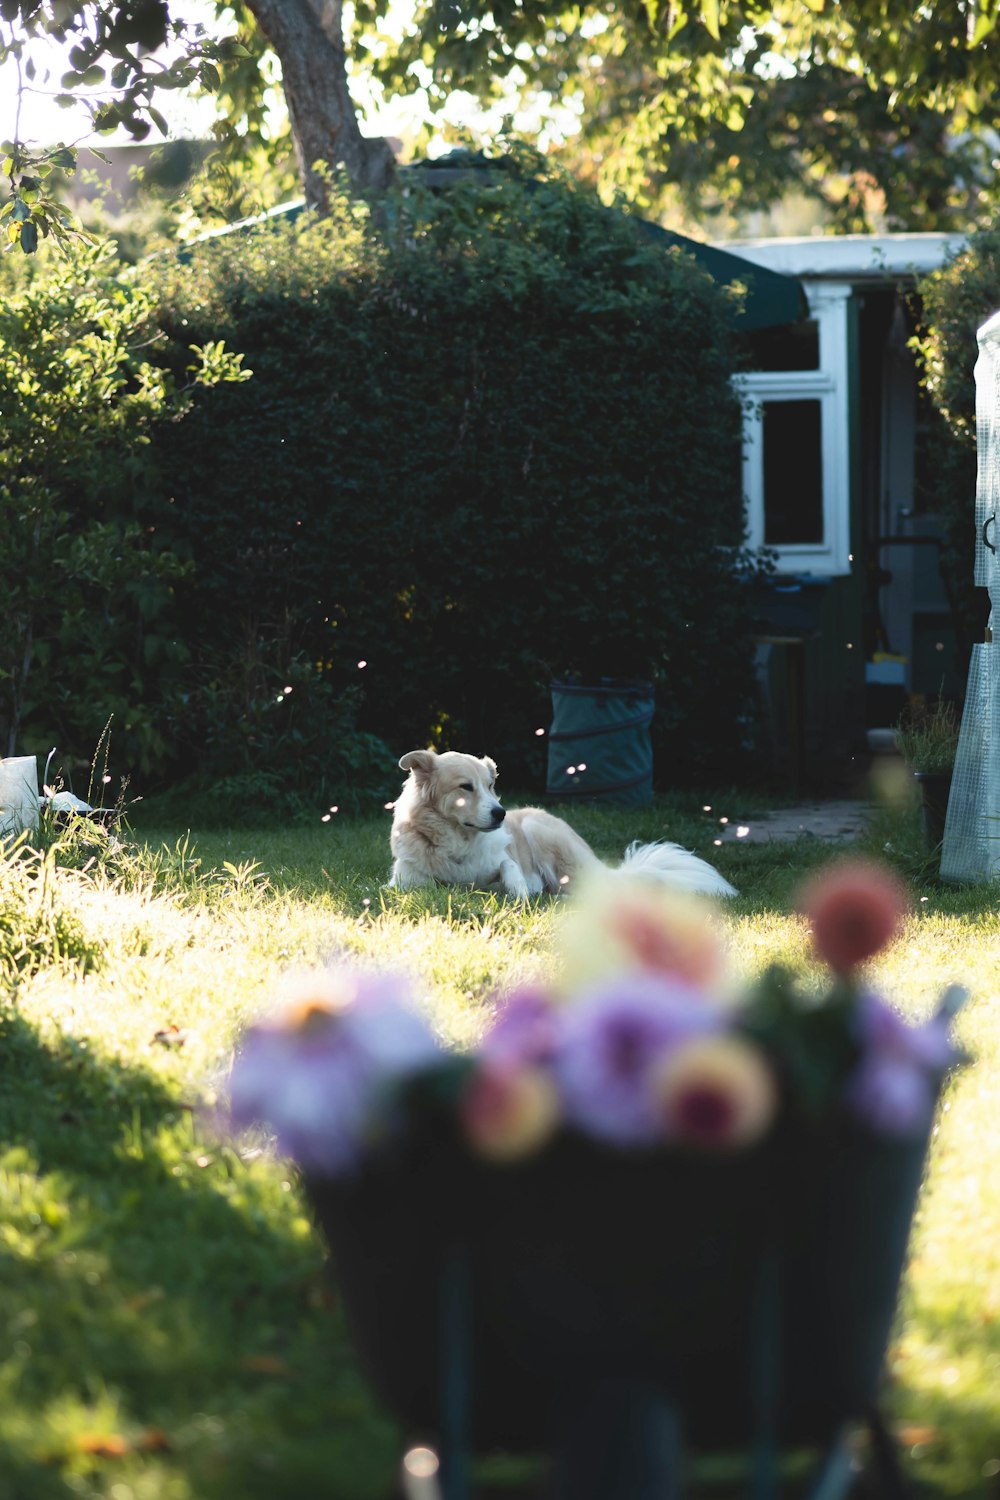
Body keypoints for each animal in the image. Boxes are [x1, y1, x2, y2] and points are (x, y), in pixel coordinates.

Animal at [386, 747, 740, 894]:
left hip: (541, 834)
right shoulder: (405, 879)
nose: (501, 813)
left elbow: (509, 866)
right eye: (465, 787)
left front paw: (519, 890)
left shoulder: (506, 858)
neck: (458, 846)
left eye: (490, 786)